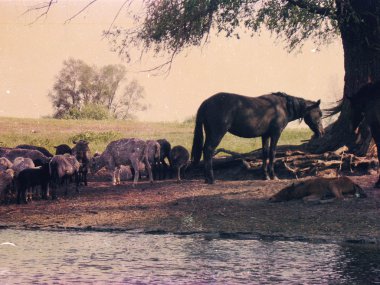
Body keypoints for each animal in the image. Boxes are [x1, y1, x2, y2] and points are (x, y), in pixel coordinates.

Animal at [190, 92, 324, 183]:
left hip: (210, 132)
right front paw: (273, 176)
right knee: (208, 151)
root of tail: (206, 103)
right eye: (319, 114)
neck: (282, 107)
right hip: (217, 134)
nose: (321, 133)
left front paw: (265, 176)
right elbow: (272, 153)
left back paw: (207, 178)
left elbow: (265, 153)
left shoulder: (265, 136)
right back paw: (211, 179)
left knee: (205, 150)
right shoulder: (275, 134)